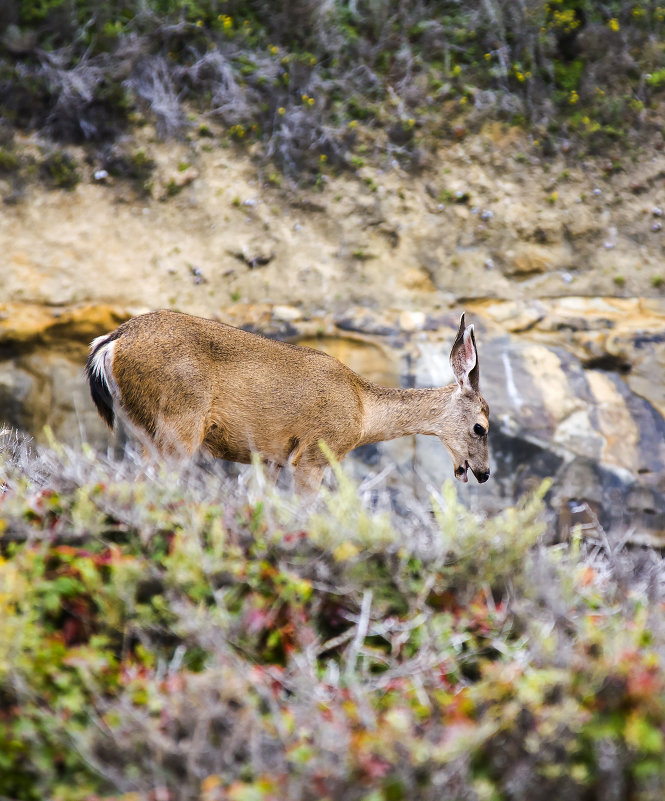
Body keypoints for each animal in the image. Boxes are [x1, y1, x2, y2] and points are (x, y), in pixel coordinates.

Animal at [85, 310, 488, 490]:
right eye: (481, 427)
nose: (483, 473)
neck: (362, 410)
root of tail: (110, 342)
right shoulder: (314, 454)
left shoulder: (270, 458)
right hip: (178, 423)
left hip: (142, 427)